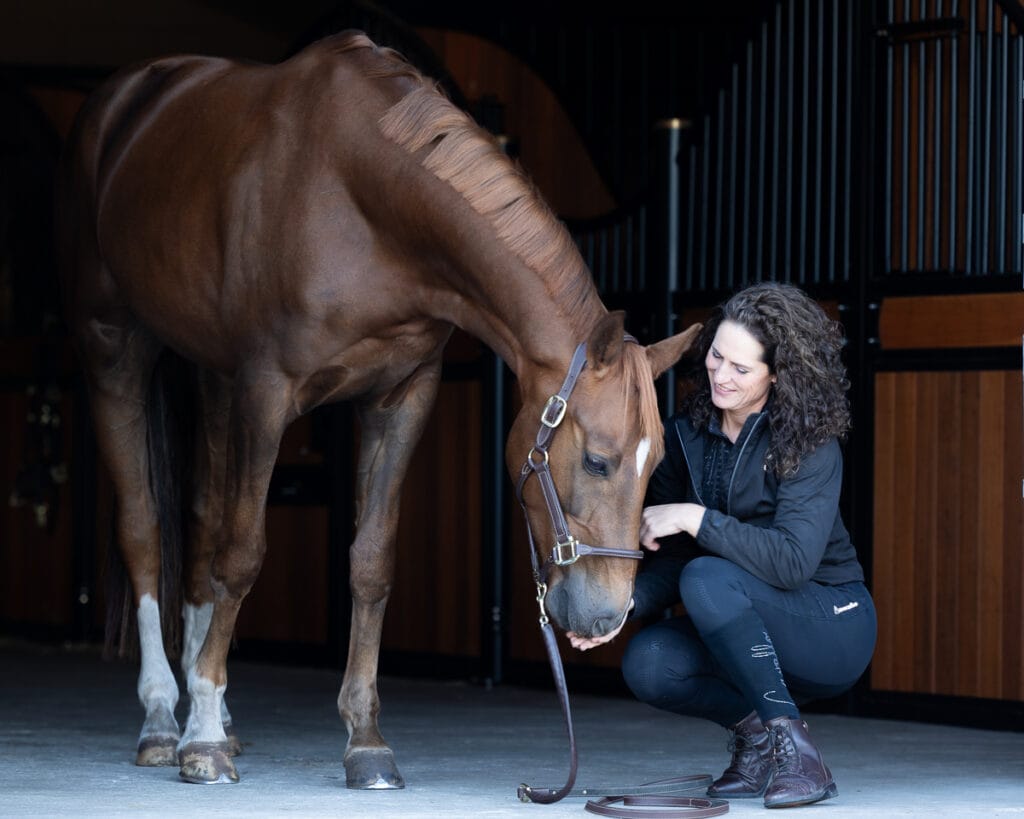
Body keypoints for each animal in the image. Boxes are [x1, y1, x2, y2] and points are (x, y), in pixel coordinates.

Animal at [56, 30, 699, 789]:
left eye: (654, 466)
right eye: (598, 460)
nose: (606, 619)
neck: (360, 198)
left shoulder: (402, 395)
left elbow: (371, 561)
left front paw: (363, 739)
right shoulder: (266, 390)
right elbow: (243, 554)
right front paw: (204, 737)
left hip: (212, 377)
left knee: (203, 524)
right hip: (114, 346)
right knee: (145, 530)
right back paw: (165, 720)